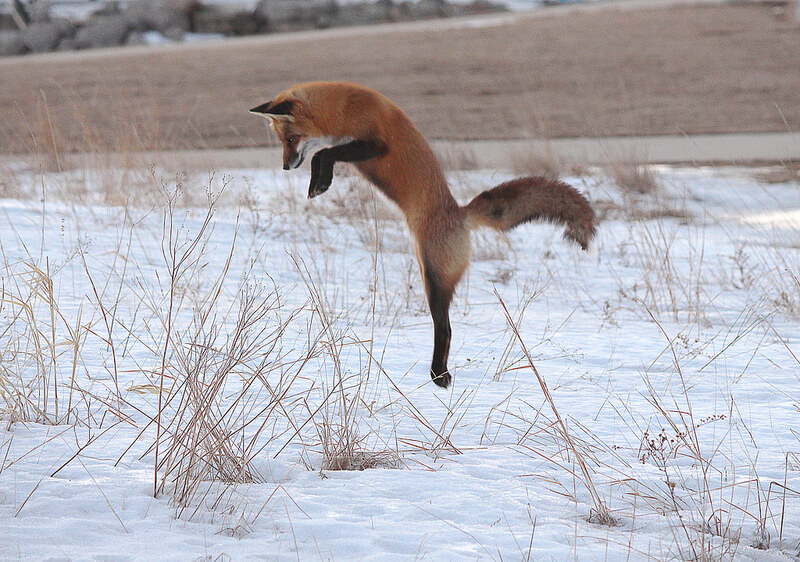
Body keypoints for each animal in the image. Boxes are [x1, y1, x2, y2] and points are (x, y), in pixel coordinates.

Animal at [250, 83, 592, 388]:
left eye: (292, 138)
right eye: (281, 141)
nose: (285, 167)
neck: (344, 108)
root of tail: (460, 212)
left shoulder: (374, 143)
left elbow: (324, 153)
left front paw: (320, 183)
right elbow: (323, 152)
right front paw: (317, 183)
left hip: (434, 279)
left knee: (446, 329)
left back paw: (439, 375)